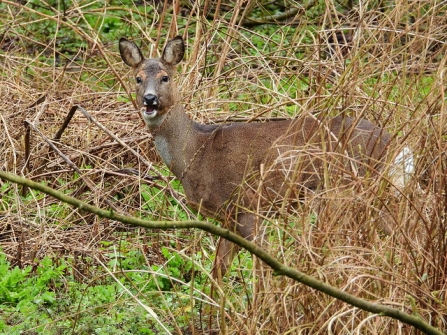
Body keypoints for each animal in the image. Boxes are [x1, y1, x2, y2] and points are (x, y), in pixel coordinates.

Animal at [118, 35, 410, 280]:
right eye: (137, 78)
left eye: (165, 77)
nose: (150, 100)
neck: (195, 153)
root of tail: (395, 143)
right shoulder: (228, 220)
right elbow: (218, 271)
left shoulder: (248, 207)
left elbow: (265, 270)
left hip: (354, 191)